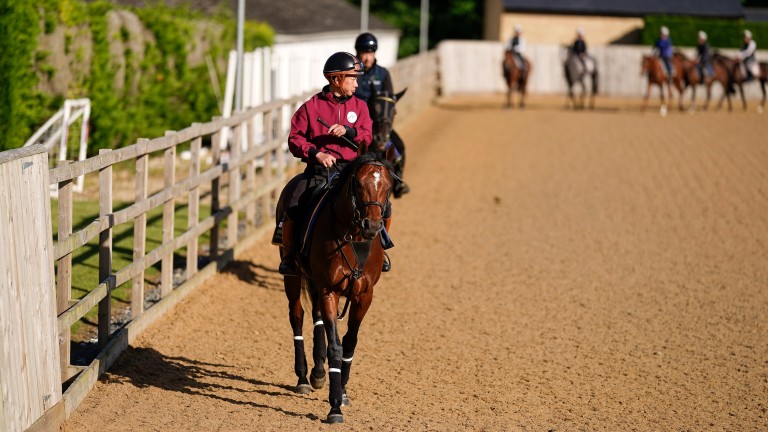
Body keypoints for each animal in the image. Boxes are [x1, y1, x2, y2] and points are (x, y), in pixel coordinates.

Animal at [274, 143, 396, 424]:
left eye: (387, 185)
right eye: (358, 184)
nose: (372, 224)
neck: (354, 237)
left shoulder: (364, 295)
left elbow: (349, 343)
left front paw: (344, 391)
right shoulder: (329, 290)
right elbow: (336, 348)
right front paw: (335, 406)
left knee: (316, 318)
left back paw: (318, 373)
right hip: (292, 277)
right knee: (297, 316)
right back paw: (303, 377)